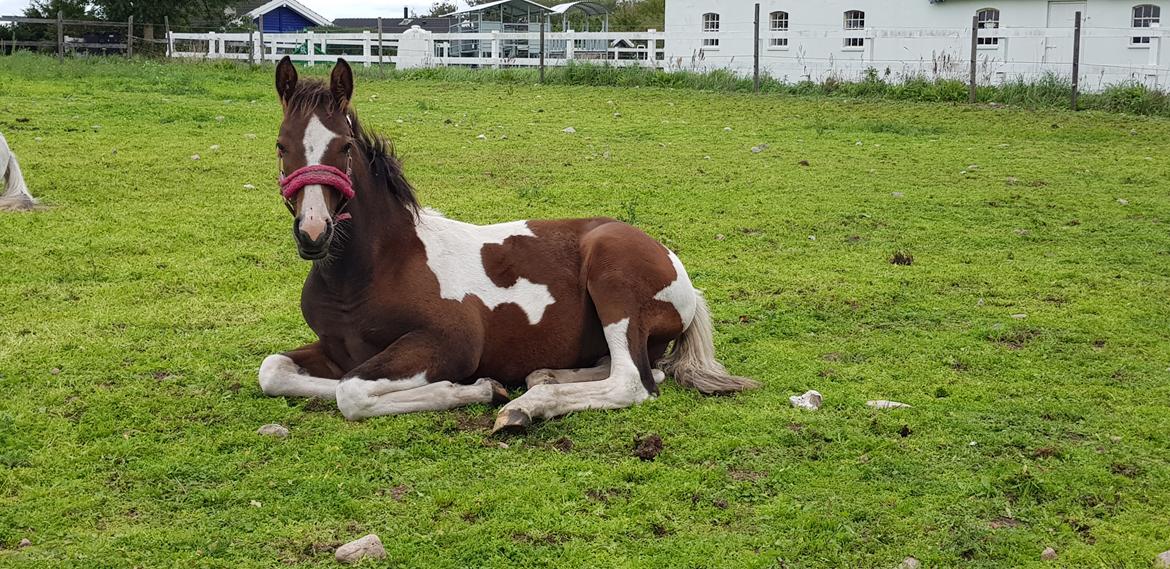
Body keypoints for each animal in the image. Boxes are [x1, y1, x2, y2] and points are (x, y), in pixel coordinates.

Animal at [256, 55, 758, 433]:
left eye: (343, 146)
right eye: (281, 145)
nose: (313, 233)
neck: (372, 271)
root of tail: (683, 278)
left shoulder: (450, 341)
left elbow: (353, 390)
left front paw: (475, 389)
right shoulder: (335, 347)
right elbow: (275, 371)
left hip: (614, 281)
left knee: (633, 382)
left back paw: (524, 407)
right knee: (643, 370)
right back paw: (542, 378)